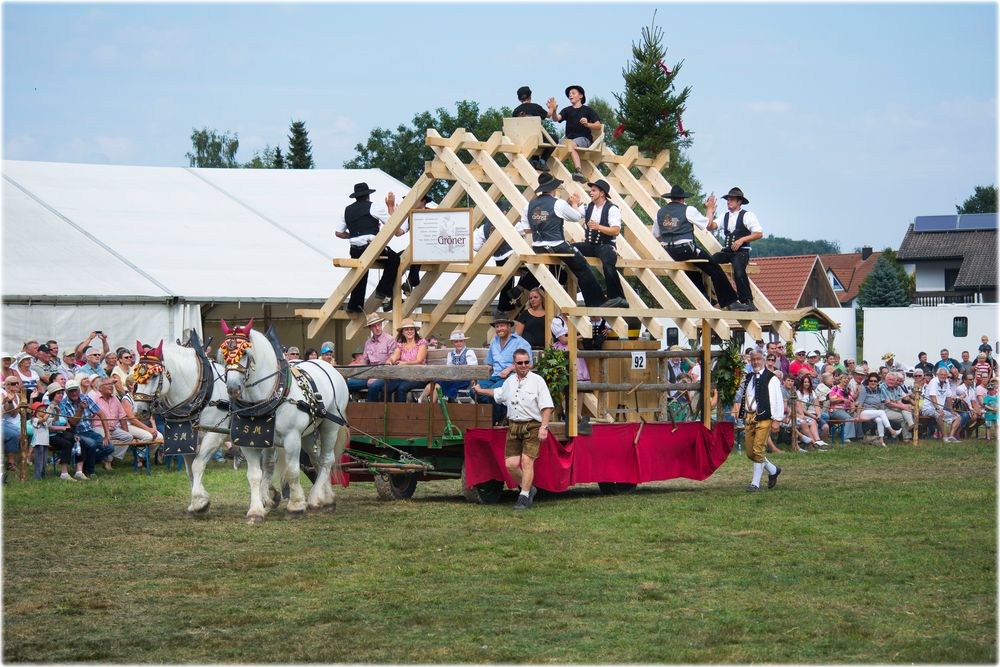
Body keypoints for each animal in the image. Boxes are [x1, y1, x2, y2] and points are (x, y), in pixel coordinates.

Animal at [219, 320, 348, 524]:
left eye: (244, 353)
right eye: (224, 352)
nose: (232, 388)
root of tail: (328, 366)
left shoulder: (291, 438)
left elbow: (292, 471)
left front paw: (296, 507)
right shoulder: (248, 441)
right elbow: (255, 475)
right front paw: (256, 510)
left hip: (330, 426)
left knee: (327, 460)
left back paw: (315, 499)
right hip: (308, 433)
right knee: (317, 461)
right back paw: (326, 499)